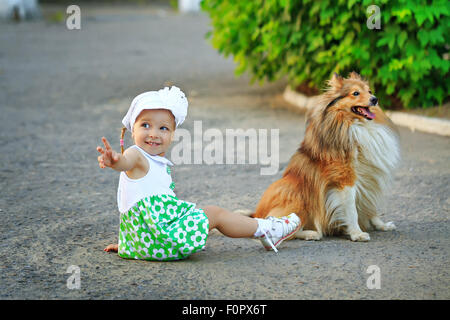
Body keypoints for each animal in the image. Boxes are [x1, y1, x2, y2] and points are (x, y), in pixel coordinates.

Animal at [251, 72, 402, 241]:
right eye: (355, 93)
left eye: (369, 91)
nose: (375, 99)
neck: (357, 125)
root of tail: (256, 214)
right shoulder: (345, 179)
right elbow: (351, 211)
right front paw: (357, 233)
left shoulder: (370, 178)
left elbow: (372, 208)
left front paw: (381, 225)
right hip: (295, 195)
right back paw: (312, 233)